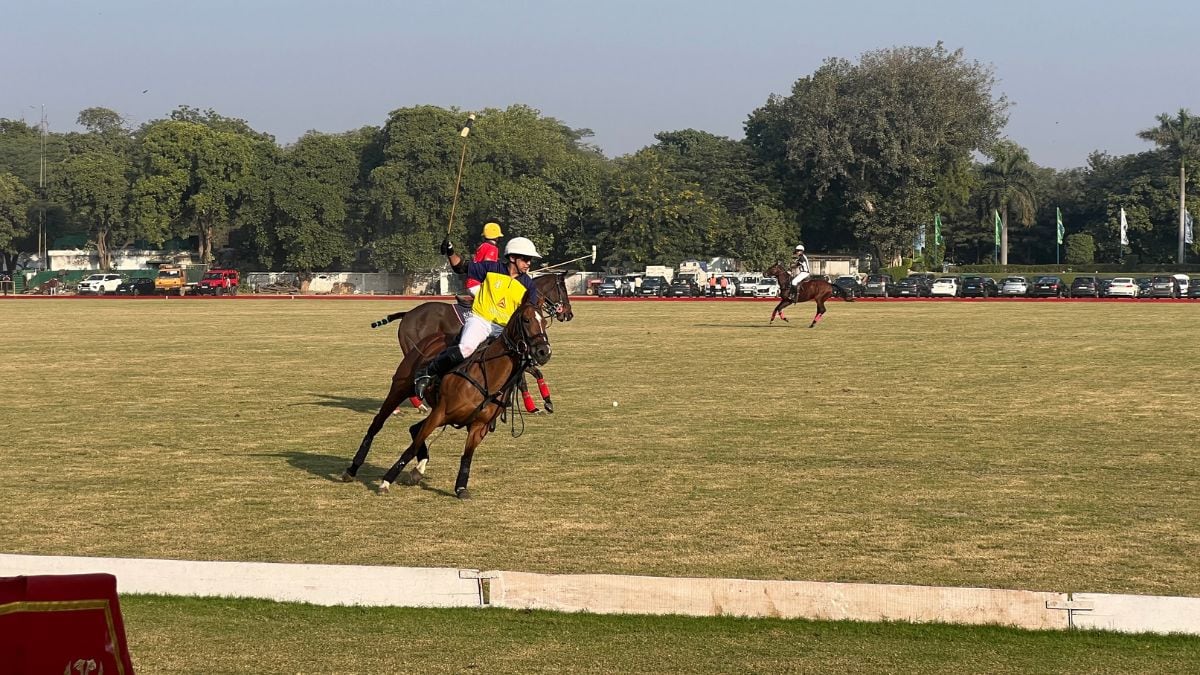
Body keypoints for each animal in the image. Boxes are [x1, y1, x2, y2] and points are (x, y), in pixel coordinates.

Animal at [343, 296, 552, 497]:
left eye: (544, 322)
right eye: (526, 320)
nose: (544, 352)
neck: (489, 375)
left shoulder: (479, 427)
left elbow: (467, 456)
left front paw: (461, 488)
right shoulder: (440, 413)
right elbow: (411, 448)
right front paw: (386, 482)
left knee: (413, 427)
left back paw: (419, 468)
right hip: (400, 389)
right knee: (377, 424)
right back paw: (353, 468)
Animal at [364, 271, 571, 410]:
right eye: (563, 289)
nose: (568, 314)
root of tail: (407, 314)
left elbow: (532, 373)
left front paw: (544, 402)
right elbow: (527, 376)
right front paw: (533, 405)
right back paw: (415, 403)